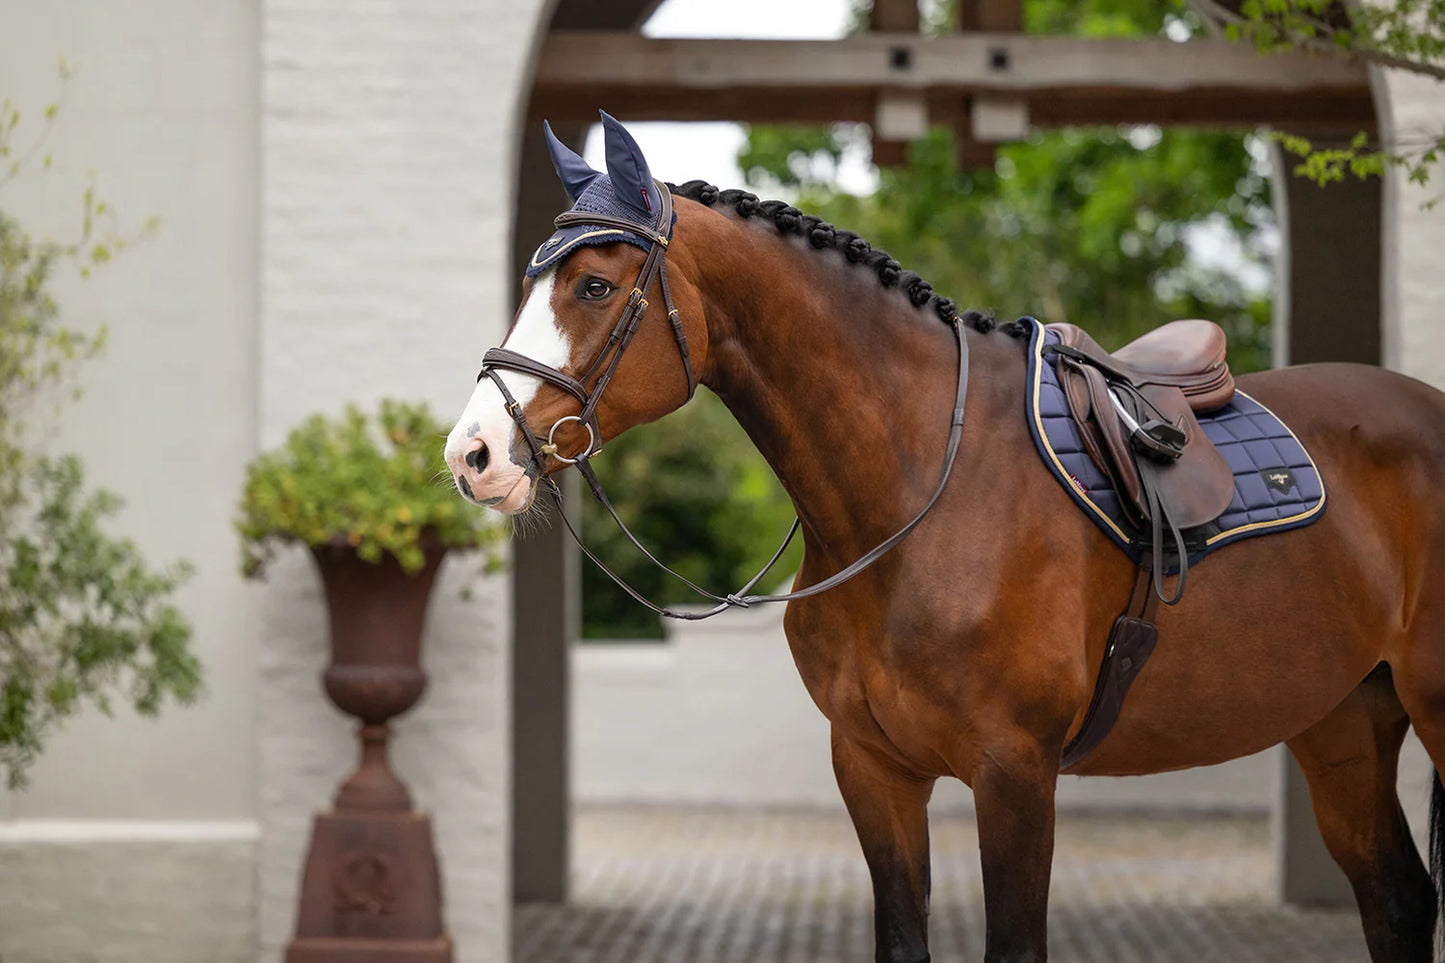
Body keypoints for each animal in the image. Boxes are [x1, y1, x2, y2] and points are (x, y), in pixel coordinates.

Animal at [445, 114, 1445, 960]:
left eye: (594, 284)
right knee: (1396, 897)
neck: (916, 490)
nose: (473, 454)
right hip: (1341, 720)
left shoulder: (1015, 775)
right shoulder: (873, 768)